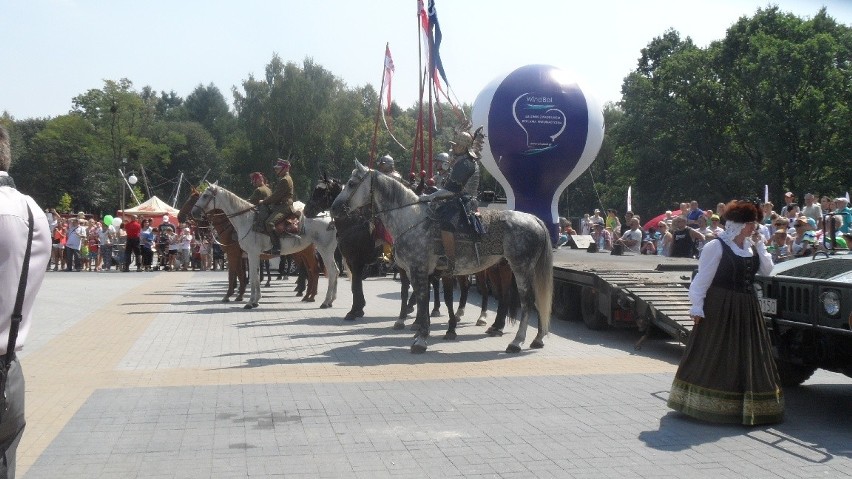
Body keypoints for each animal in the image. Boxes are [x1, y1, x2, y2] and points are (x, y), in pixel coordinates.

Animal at [191, 184, 338, 312]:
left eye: (205, 195)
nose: (194, 213)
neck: (246, 220)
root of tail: (330, 219)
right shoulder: (252, 255)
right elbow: (254, 276)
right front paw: (255, 300)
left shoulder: (250, 254)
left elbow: (251, 277)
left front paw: (249, 302)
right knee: (333, 271)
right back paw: (329, 300)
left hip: (324, 251)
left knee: (329, 272)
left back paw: (324, 301)